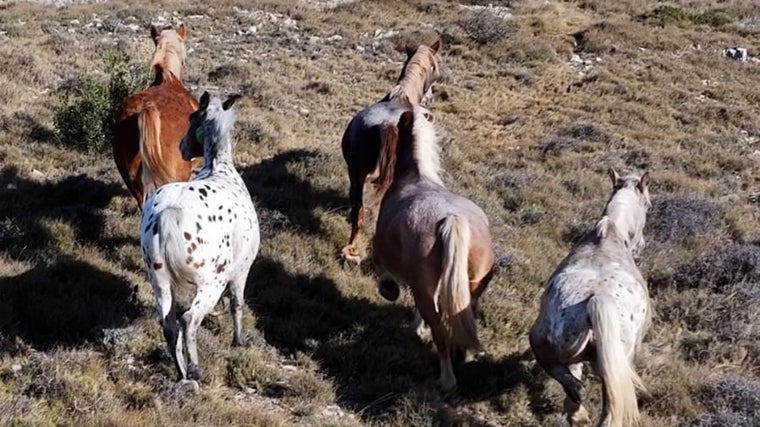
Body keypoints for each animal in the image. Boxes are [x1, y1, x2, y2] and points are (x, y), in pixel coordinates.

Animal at [140, 91, 262, 384]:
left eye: (192, 118)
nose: (183, 149)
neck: (220, 169)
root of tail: (168, 213)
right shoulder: (240, 271)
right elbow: (237, 304)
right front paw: (239, 341)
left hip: (159, 281)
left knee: (169, 325)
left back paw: (182, 372)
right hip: (212, 282)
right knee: (188, 320)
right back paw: (195, 370)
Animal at [338, 40, 440, 262]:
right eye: (435, 68)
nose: (429, 98)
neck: (401, 97)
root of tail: (386, 124)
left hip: (357, 176)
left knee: (358, 212)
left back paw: (352, 249)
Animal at [370, 107, 498, 392]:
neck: (415, 178)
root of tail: (452, 219)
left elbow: (384, 272)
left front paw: (391, 292)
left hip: (429, 289)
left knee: (440, 329)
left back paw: (447, 380)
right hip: (471, 289)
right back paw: (464, 357)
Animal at [528, 169, 652, 427]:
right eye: (648, 205)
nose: (642, 246)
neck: (609, 234)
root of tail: (596, 299)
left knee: (569, 382)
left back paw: (577, 410)